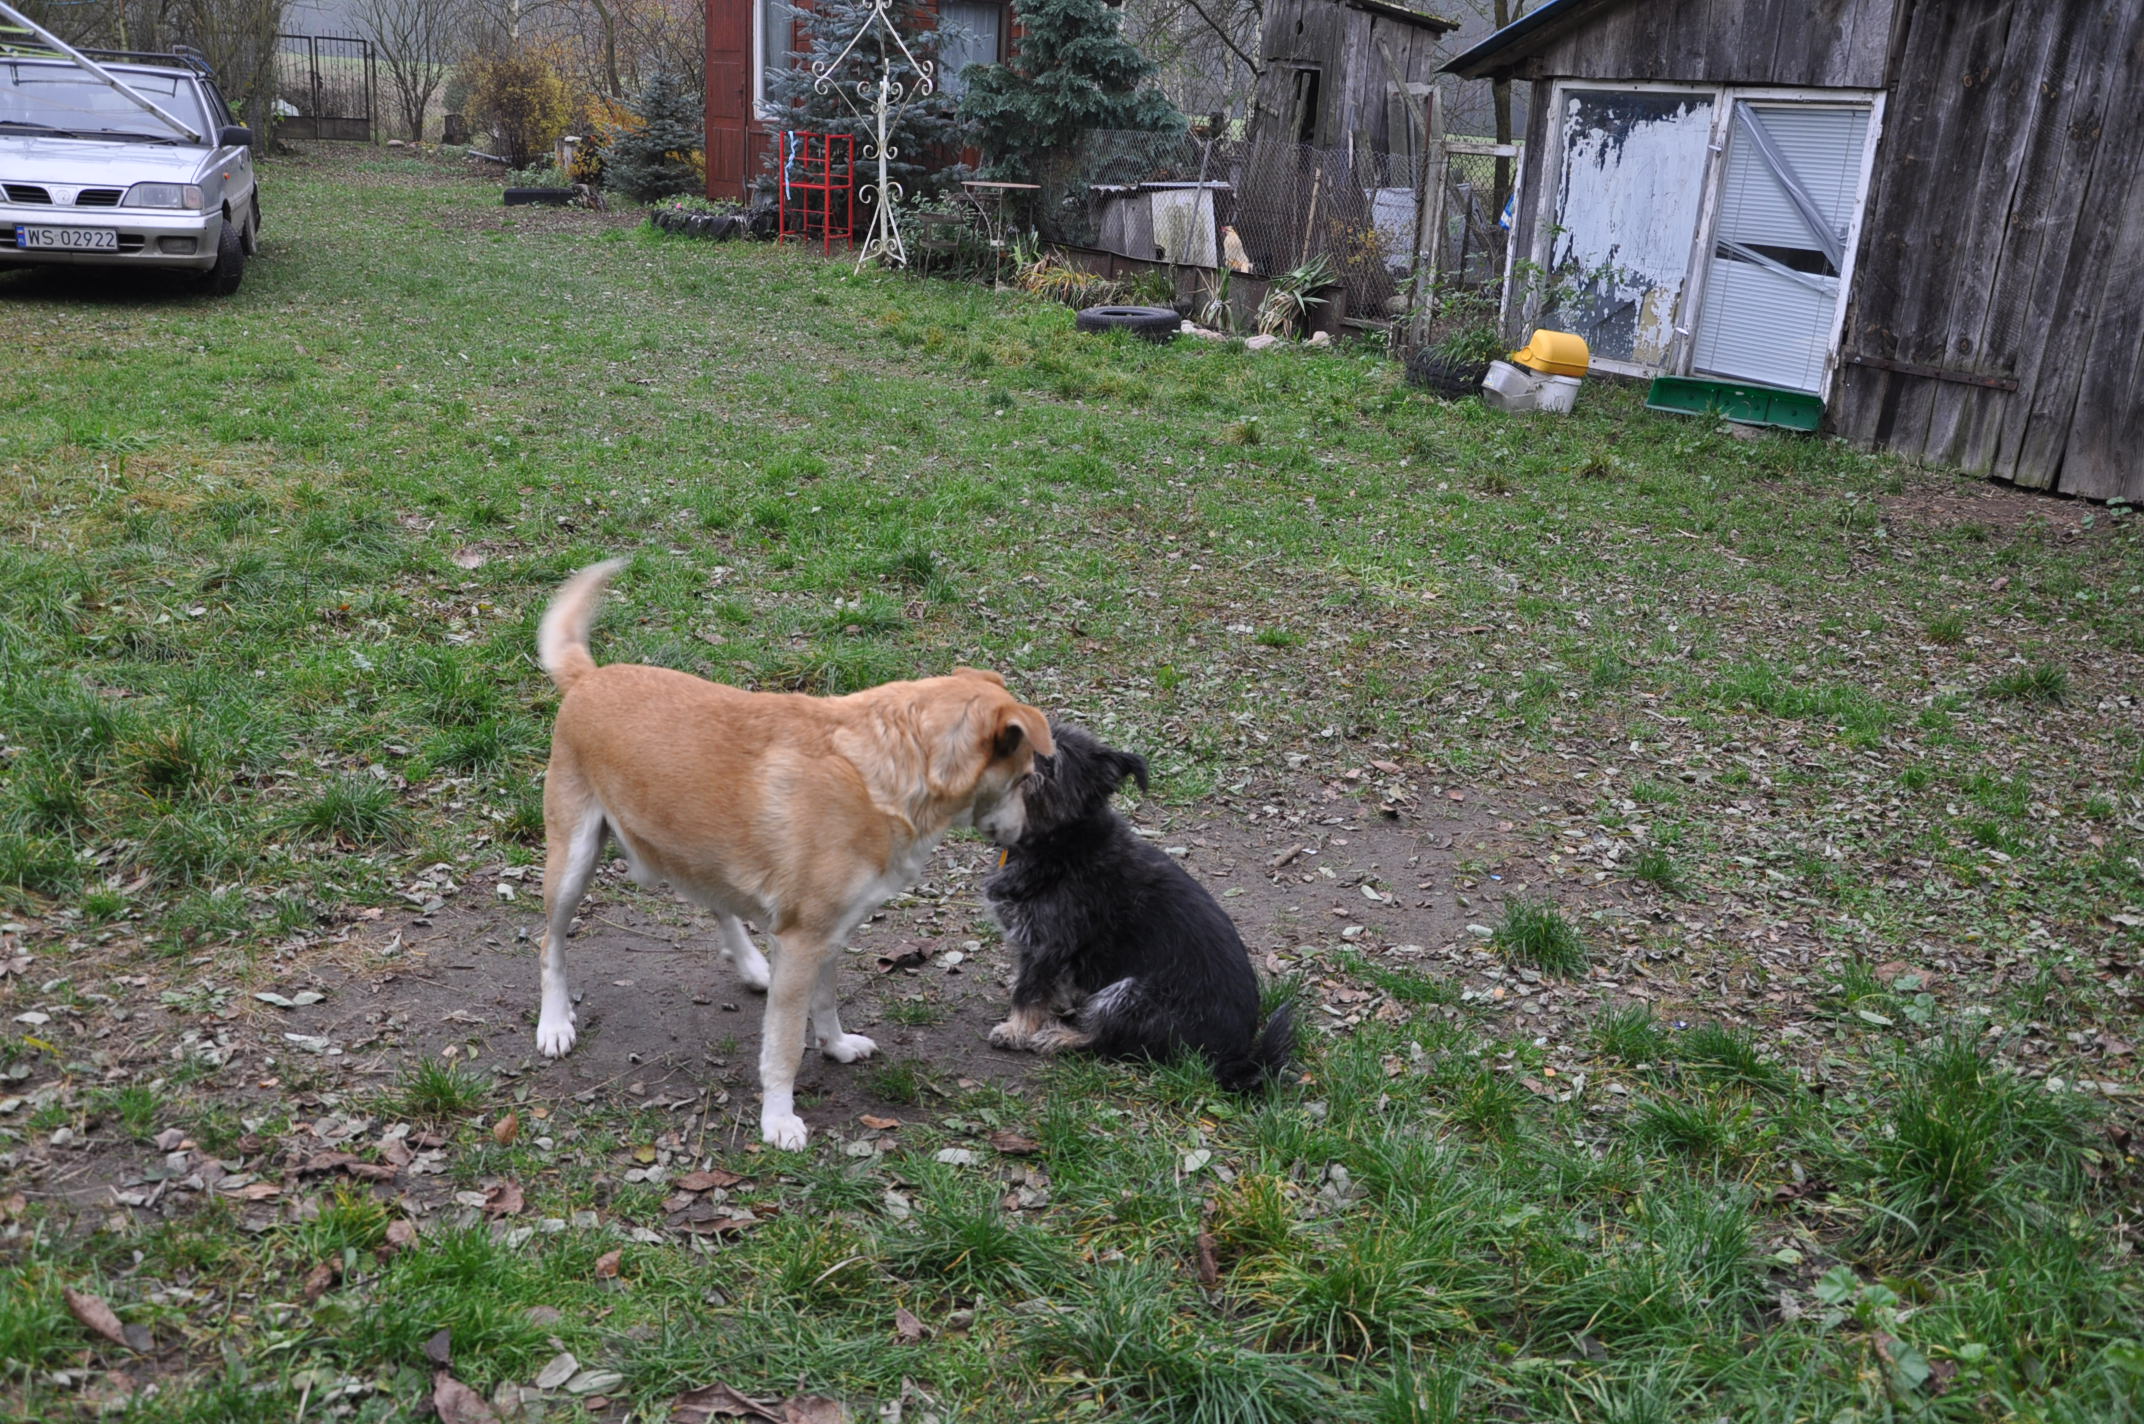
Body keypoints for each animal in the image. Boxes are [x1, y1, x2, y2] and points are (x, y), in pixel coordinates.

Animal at [532, 559, 1054, 1149]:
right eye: (1028, 777)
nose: (1028, 838)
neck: (884, 767)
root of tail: (589, 677)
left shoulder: (829, 935)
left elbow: (823, 1005)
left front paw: (837, 1045)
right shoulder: (806, 941)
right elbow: (783, 1048)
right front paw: (779, 1119)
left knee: (714, 902)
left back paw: (752, 964)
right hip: (572, 864)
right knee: (549, 944)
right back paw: (555, 1024)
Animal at [984, 722, 1293, 1092]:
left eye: (1050, 761)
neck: (1061, 842)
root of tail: (1234, 1058)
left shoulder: (1046, 943)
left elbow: (1029, 991)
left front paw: (1015, 1030)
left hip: (1128, 995)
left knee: (1108, 1042)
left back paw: (1061, 1038)